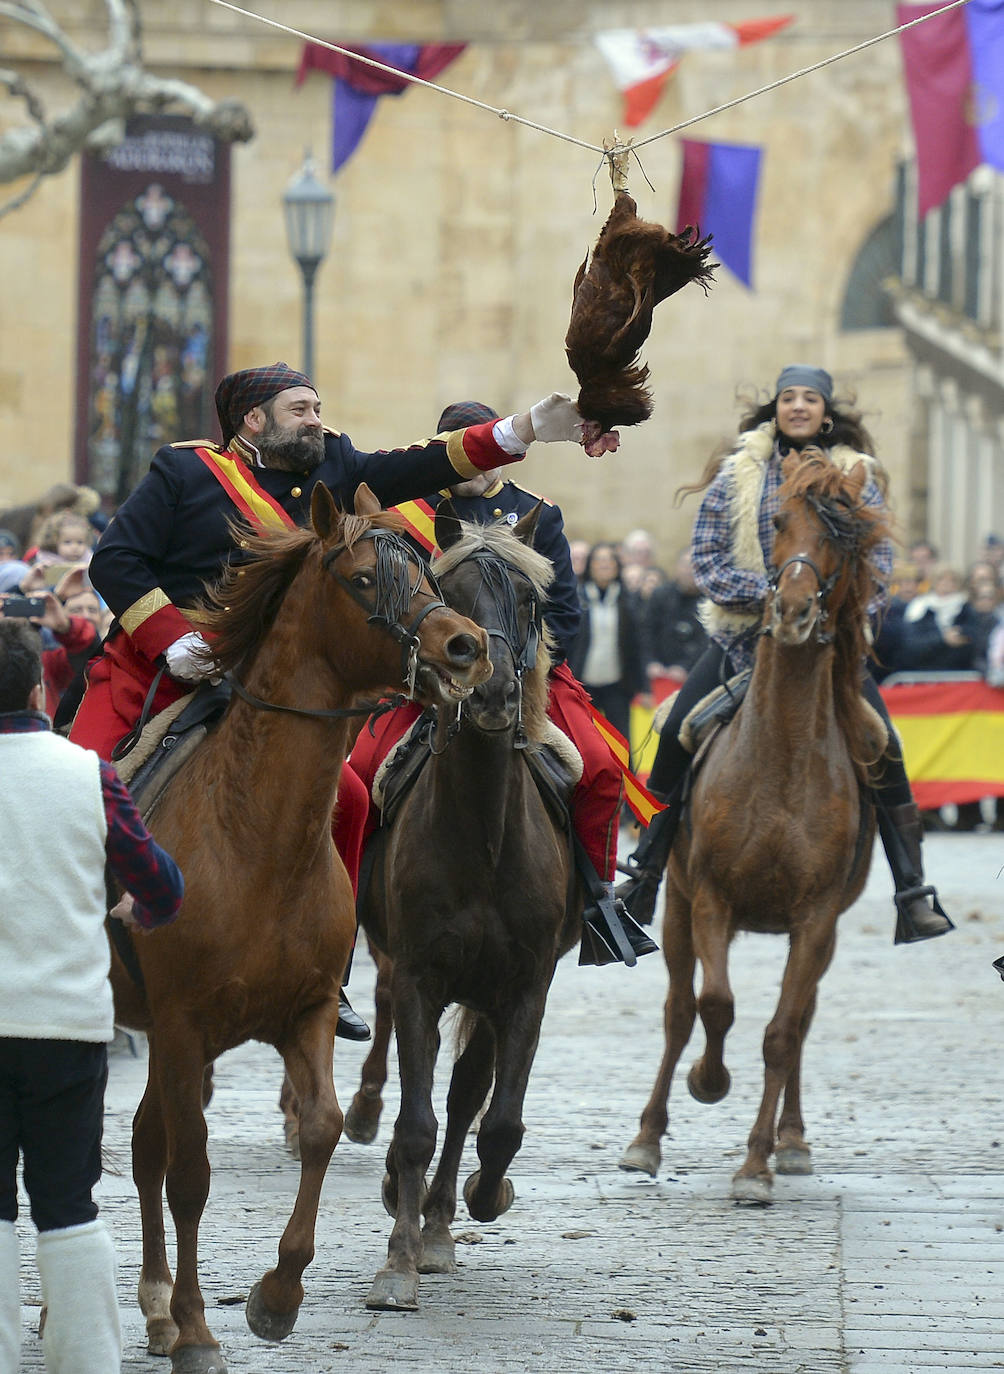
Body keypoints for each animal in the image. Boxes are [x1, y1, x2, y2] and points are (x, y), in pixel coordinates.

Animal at [109, 480, 491, 1363]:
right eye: (362, 581)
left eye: (427, 574)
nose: (465, 647)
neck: (256, 835)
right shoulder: (182, 1026)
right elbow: (190, 1175)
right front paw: (199, 1331)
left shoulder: (302, 1013)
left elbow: (319, 1127)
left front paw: (276, 1297)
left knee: (144, 1146)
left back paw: (152, 1307)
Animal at [351, 505, 582, 1308]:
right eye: (445, 592)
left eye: (533, 601)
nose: (489, 695)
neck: (483, 834)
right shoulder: (419, 977)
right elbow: (416, 1122)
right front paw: (397, 1257)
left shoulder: (525, 990)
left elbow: (498, 1122)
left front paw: (481, 1198)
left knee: (467, 1099)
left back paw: (444, 1218)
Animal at [620, 453, 890, 1203]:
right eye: (777, 522)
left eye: (846, 536)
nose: (794, 610)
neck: (782, 755)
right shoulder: (712, 898)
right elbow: (714, 1005)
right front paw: (708, 1082)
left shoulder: (816, 918)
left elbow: (782, 1033)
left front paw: (757, 1165)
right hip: (677, 908)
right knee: (678, 1012)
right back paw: (646, 1138)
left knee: (799, 1022)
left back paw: (791, 1142)